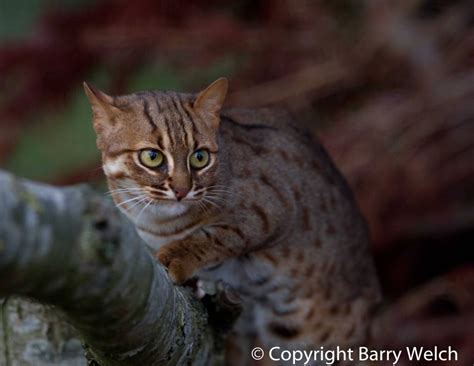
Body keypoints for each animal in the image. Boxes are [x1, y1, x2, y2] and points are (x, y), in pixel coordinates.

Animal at [84, 78, 382, 364]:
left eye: (200, 157)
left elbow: (221, 235)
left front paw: (179, 256)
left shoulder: (272, 209)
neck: (156, 221)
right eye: (152, 157)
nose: (182, 190)